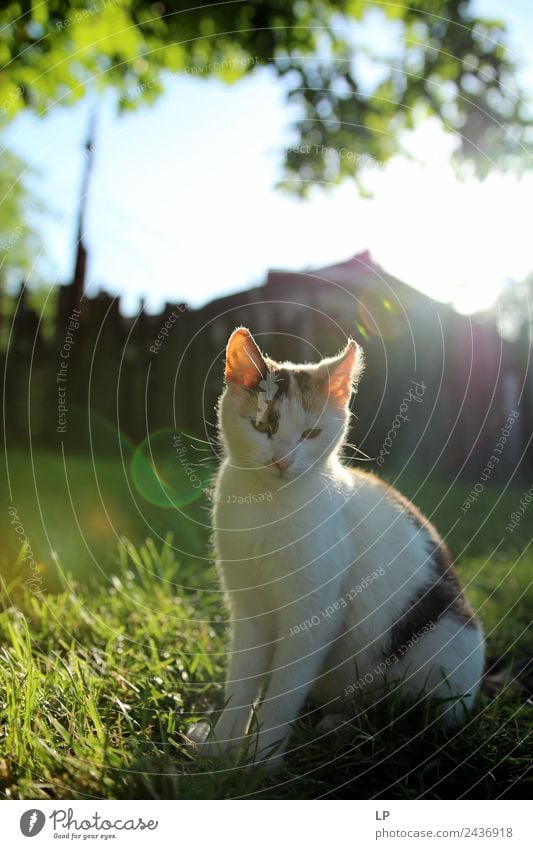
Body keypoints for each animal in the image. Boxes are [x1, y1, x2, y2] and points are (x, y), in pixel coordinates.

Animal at [190, 328, 482, 764]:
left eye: (311, 434)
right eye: (261, 425)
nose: (282, 461)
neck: (267, 504)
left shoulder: (314, 615)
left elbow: (283, 690)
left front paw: (261, 759)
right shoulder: (249, 609)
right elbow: (241, 680)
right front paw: (221, 748)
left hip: (441, 645)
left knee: (404, 719)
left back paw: (342, 728)